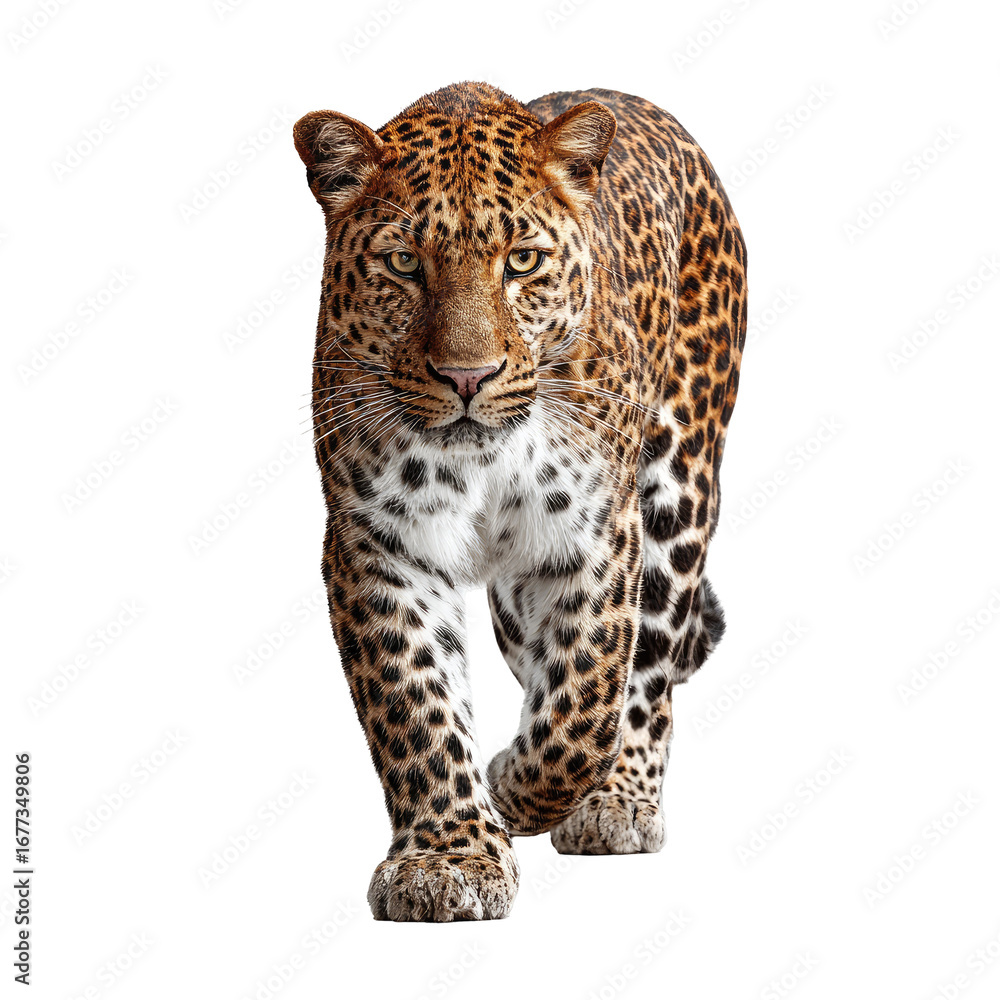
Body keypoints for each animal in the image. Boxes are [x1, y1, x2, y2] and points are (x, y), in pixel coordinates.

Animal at [292, 81, 747, 922]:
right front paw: (448, 856)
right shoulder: (380, 543)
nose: (467, 377)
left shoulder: (597, 531)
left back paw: (618, 800)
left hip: (680, 488)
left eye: (522, 262)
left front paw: (519, 787)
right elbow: (416, 704)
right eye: (403, 263)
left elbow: (585, 700)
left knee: (649, 670)